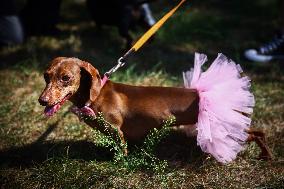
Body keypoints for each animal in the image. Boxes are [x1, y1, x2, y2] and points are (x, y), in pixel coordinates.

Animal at [38, 57, 272, 159]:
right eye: (46, 76)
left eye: (66, 78)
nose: (42, 100)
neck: (94, 96)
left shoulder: (116, 130)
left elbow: (121, 149)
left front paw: (121, 162)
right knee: (258, 132)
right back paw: (266, 154)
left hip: (227, 128)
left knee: (253, 135)